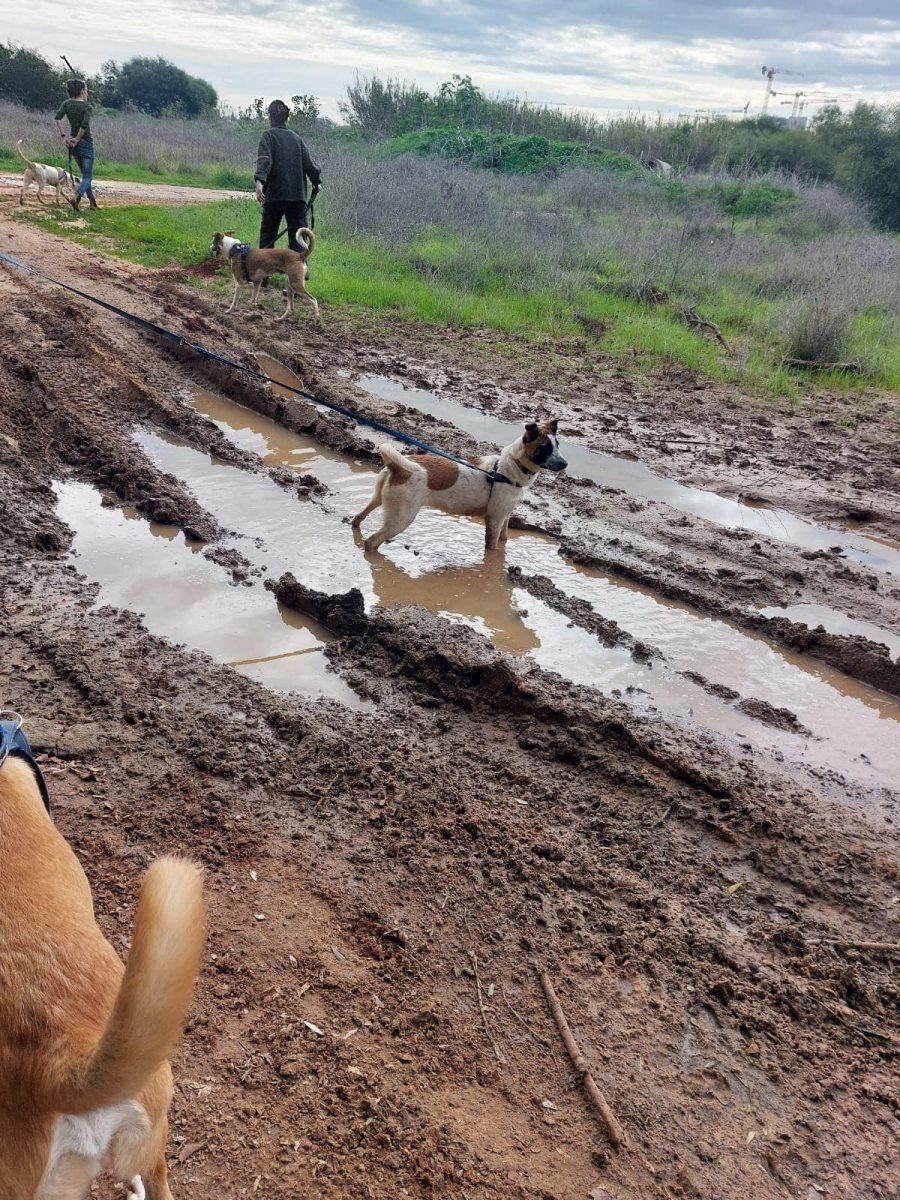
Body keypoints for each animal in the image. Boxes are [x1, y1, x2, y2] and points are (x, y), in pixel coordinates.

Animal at [350, 422, 566, 552]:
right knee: (372, 542)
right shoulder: (493, 520)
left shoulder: (504, 516)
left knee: (358, 518)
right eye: (545, 448)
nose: (565, 464)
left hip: (377, 500)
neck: (508, 467)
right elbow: (492, 547)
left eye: (557, 445)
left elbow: (504, 538)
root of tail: (398, 467)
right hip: (401, 519)